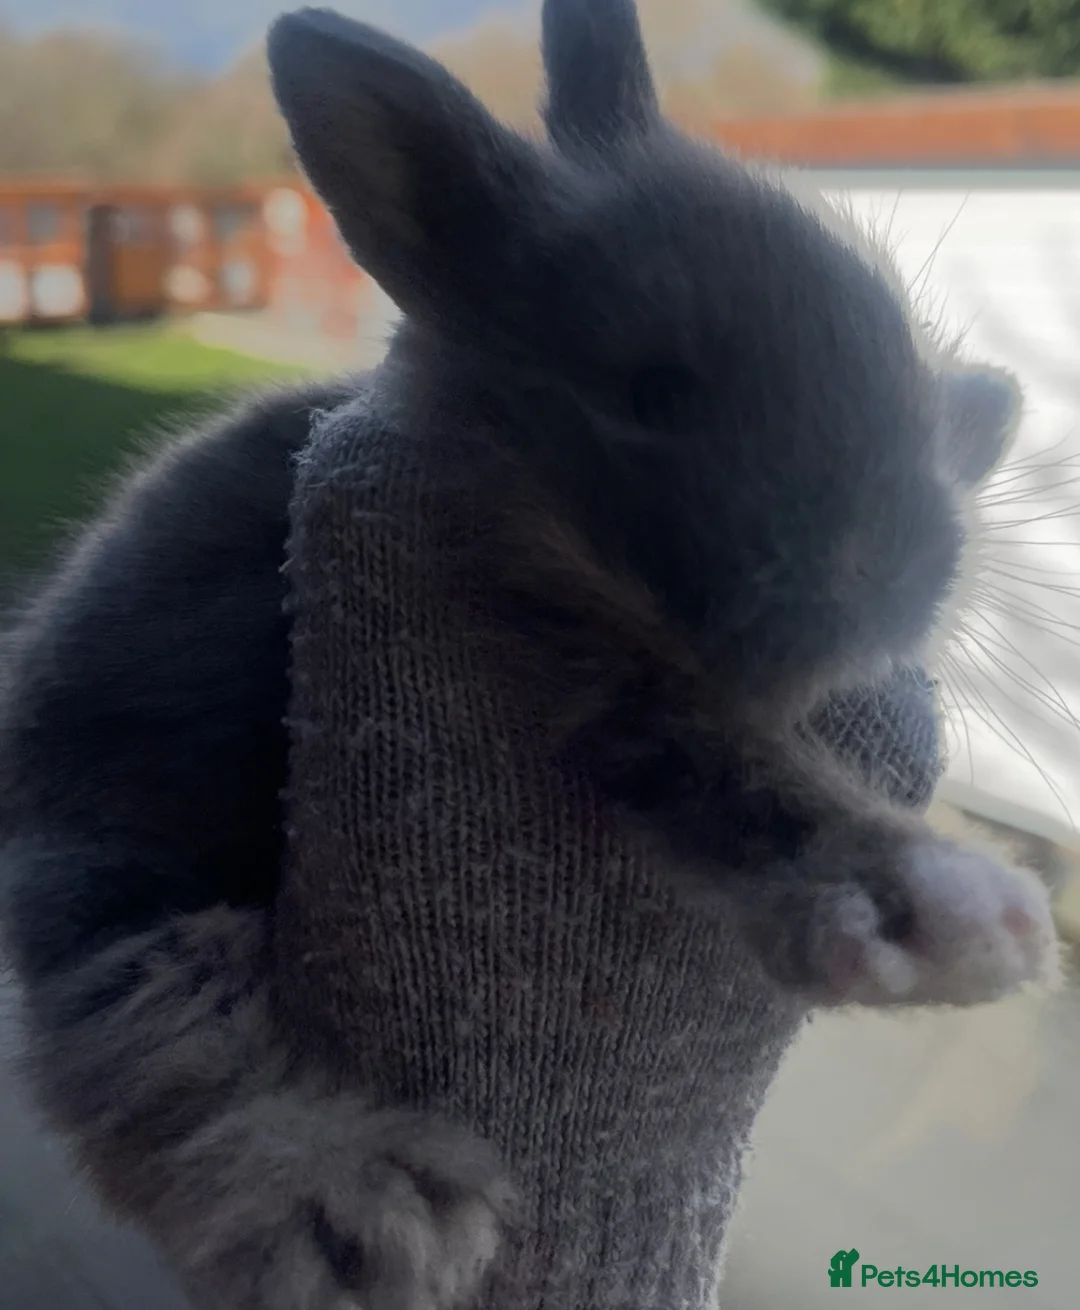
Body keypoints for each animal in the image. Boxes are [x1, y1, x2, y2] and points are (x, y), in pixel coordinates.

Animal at [0, 1, 1059, 1307]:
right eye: (656, 391)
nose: (886, 586)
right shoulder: (577, 664)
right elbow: (737, 774)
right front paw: (946, 909)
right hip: (130, 890)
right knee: (157, 1059)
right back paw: (368, 1208)